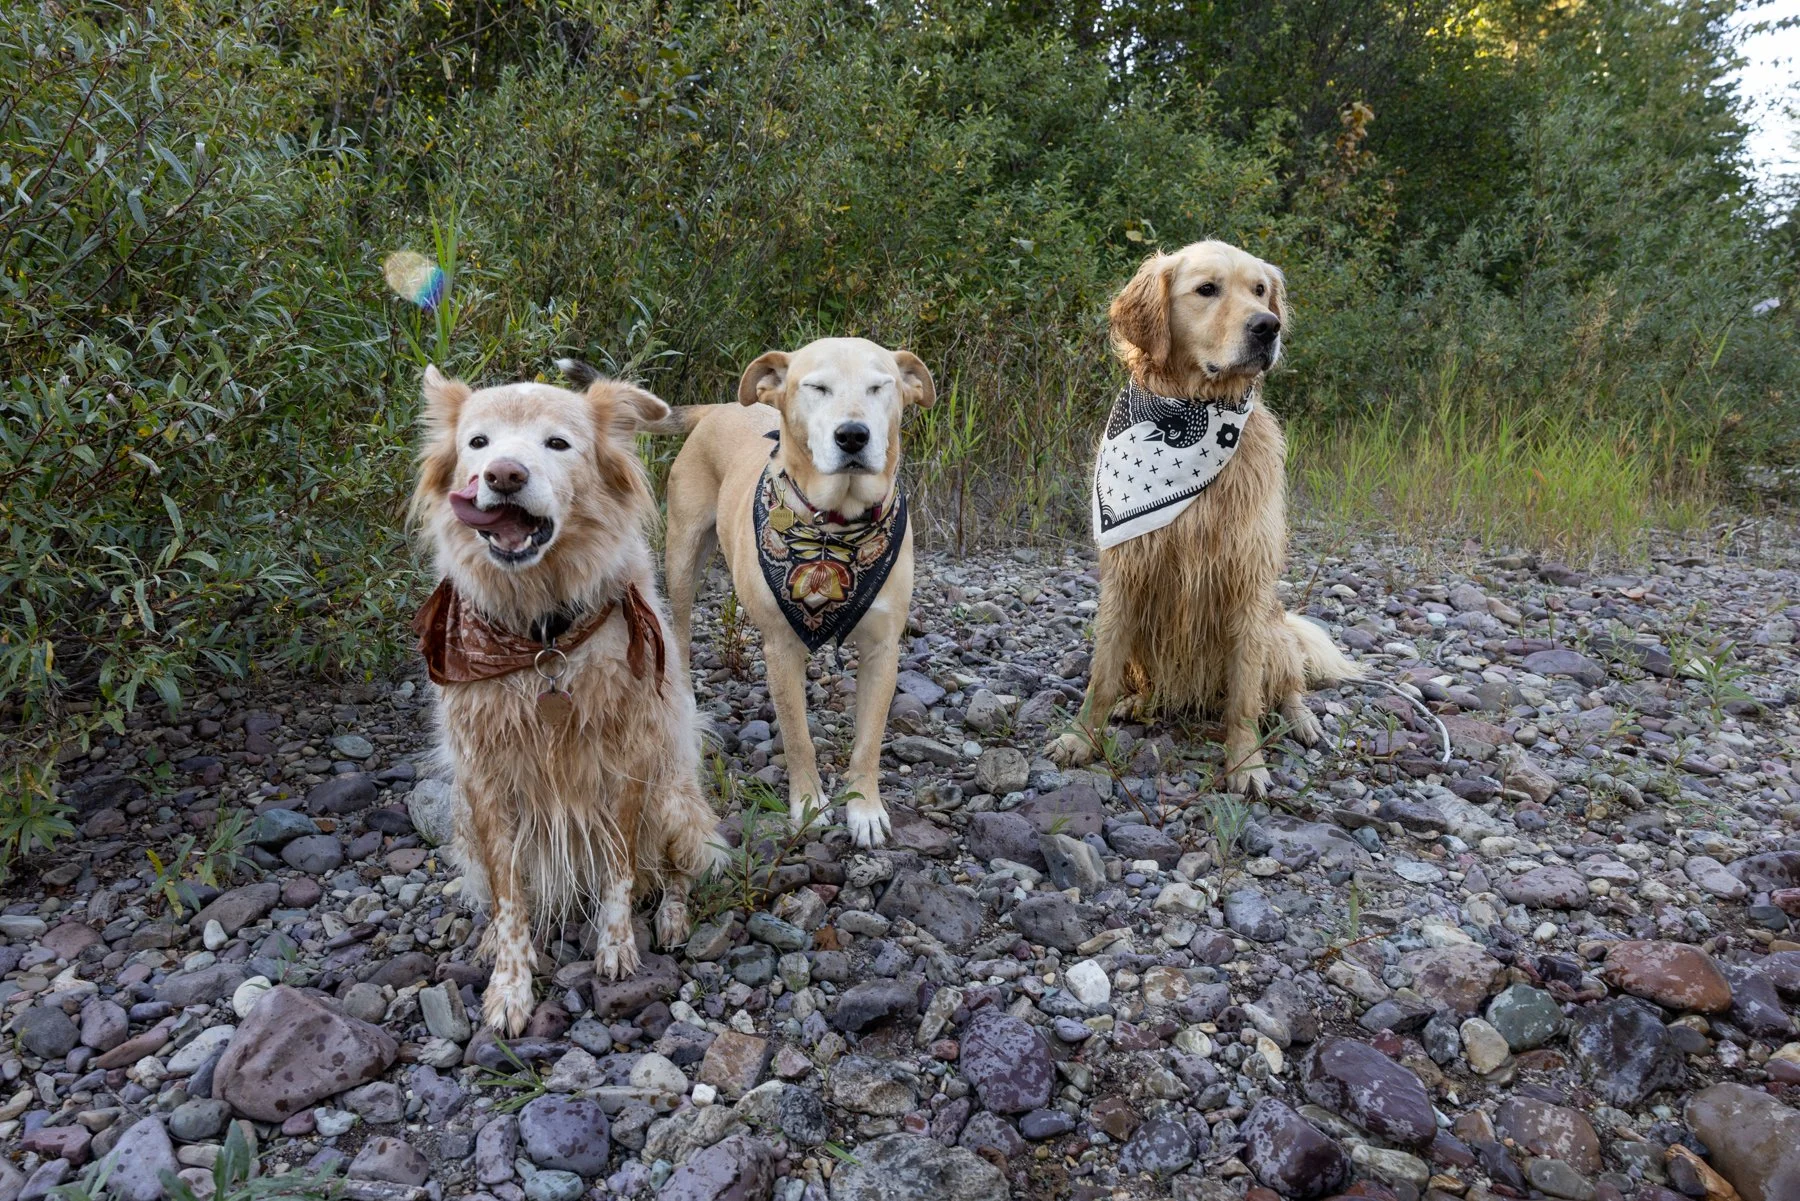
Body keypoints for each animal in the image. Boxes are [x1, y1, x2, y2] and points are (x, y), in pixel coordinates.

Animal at [410, 364, 718, 1034]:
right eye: (477, 442)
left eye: (558, 444)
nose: (503, 474)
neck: (542, 637)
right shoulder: (486, 784)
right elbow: (510, 900)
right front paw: (509, 985)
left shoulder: (627, 764)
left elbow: (621, 869)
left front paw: (617, 947)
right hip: (463, 826)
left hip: (676, 802)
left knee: (676, 871)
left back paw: (673, 917)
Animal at [608, 338, 933, 848]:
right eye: (816, 387)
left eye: (880, 386)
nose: (853, 436)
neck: (835, 528)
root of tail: (719, 408)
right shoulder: (781, 647)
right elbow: (798, 737)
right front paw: (810, 805)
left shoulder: (883, 649)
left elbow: (869, 740)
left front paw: (865, 809)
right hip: (682, 558)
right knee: (678, 632)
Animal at [1047, 240, 1360, 792]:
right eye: (1207, 289)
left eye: (1260, 290)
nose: (1267, 326)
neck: (1195, 405)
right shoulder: (1126, 578)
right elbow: (1100, 679)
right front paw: (1081, 738)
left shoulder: (1246, 583)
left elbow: (1244, 698)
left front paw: (1246, 763)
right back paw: (1137, 702)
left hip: (1276, 628)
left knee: (1288, 684)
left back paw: (1302, 720)